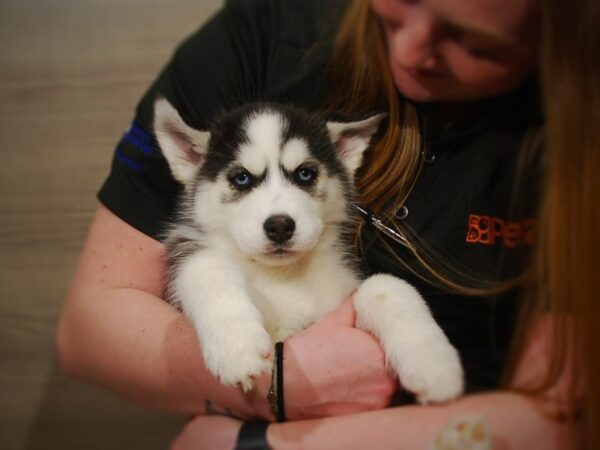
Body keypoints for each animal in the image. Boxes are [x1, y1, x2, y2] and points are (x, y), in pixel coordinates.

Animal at [154, 100, 464, 402]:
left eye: (305, 174)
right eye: (242, 178)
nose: (280, 226)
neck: (285, 275)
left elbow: (384, 286)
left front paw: (433, 364)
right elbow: (205, 265)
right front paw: (237, 345)